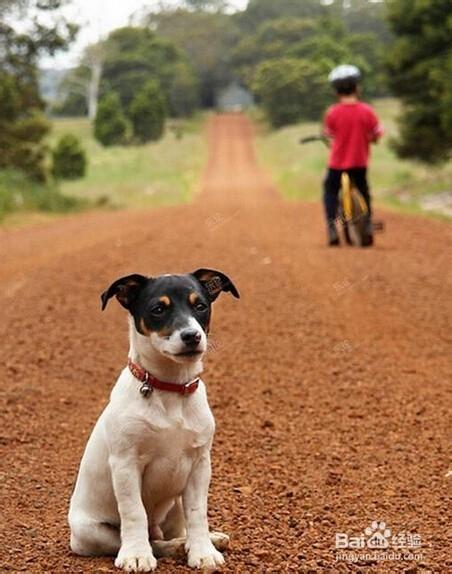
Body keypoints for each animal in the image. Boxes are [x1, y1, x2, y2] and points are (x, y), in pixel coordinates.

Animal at [69, 268, 238, 572]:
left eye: (200, 306)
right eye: (158, 309)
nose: (192, 336)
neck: (170, 389)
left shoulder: (200, 464)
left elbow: (198, 513)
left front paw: (203, 551)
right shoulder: (126, 464)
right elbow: (134, 512)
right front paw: (136, 555)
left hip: (175, 506)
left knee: (174, 529)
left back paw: (201, 540)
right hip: (92, 532)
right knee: (151, 540)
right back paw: (164, 547)